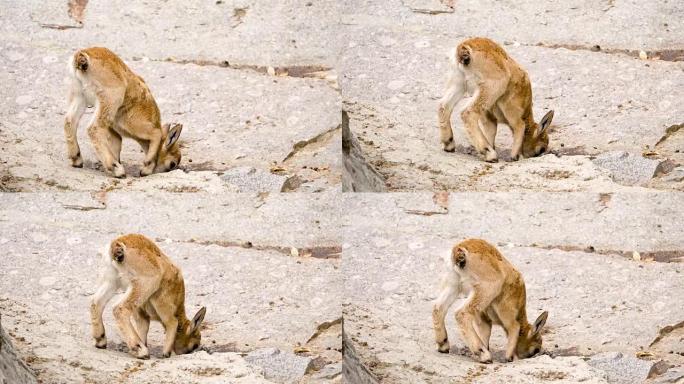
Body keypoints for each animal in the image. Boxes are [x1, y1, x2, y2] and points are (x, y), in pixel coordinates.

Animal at [65, 47, 183, 178]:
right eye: (172, 164)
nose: (146, 173)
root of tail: (83, 57)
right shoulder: (136, 125)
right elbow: (156, 134)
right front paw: (147, 166)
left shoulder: (113, 129)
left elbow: (117, 143)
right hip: (110, 99)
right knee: (93, 128)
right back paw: (117, 169)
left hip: (79, 97)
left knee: (69, 121)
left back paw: (77, 159)